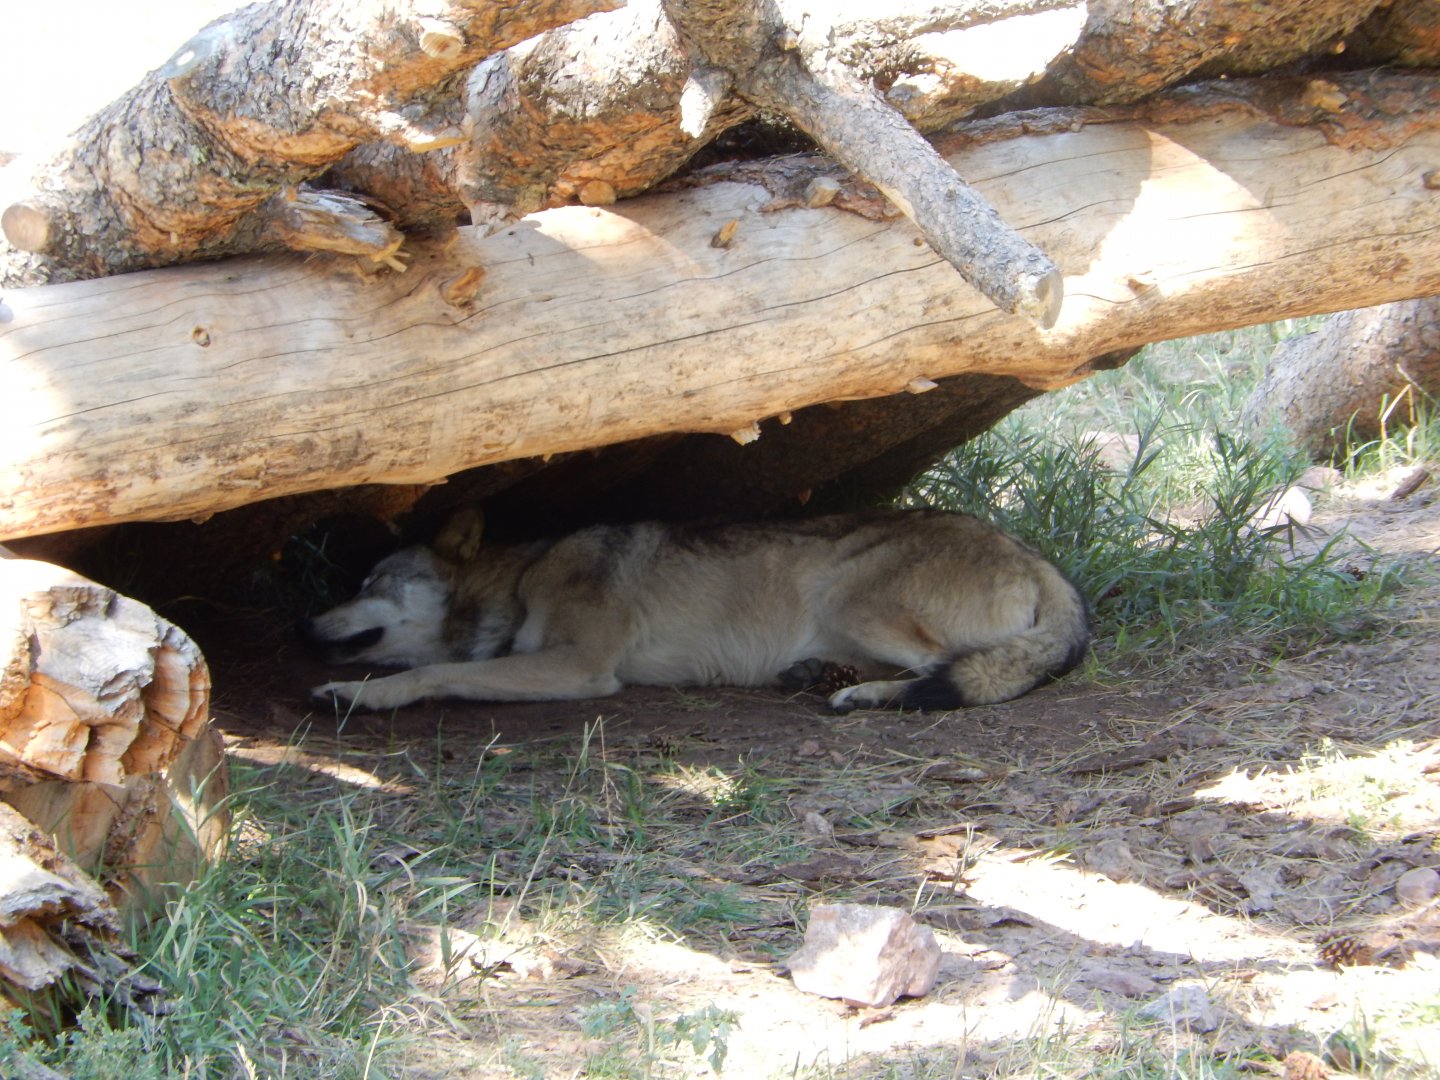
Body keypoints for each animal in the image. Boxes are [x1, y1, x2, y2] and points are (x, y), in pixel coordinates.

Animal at [304, 508, 1089, 714]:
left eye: (369, 581)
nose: (305, 624)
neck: (523, 577)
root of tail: (1038, 559)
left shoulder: (582, 668)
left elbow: (428, 675)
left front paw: (355, 693)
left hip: (849, 595)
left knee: (946, 671)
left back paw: (863, 695)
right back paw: (814, 676)